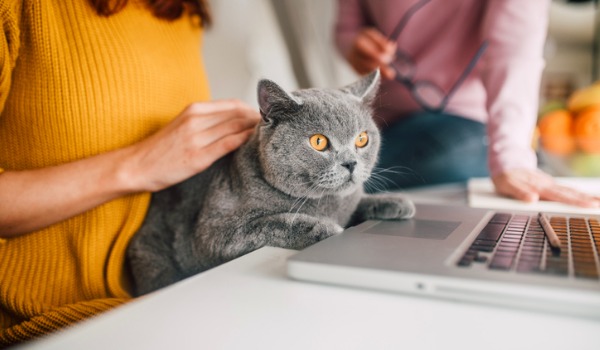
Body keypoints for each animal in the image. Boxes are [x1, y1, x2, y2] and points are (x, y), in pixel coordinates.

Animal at [126, 71, 414, 296]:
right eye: (319, 141)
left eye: (362, 139)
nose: (351, 163)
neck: (328, 204)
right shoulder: (213, 233)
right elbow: (275, 222)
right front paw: (325, 228)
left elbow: (359, 203)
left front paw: (396, 202)